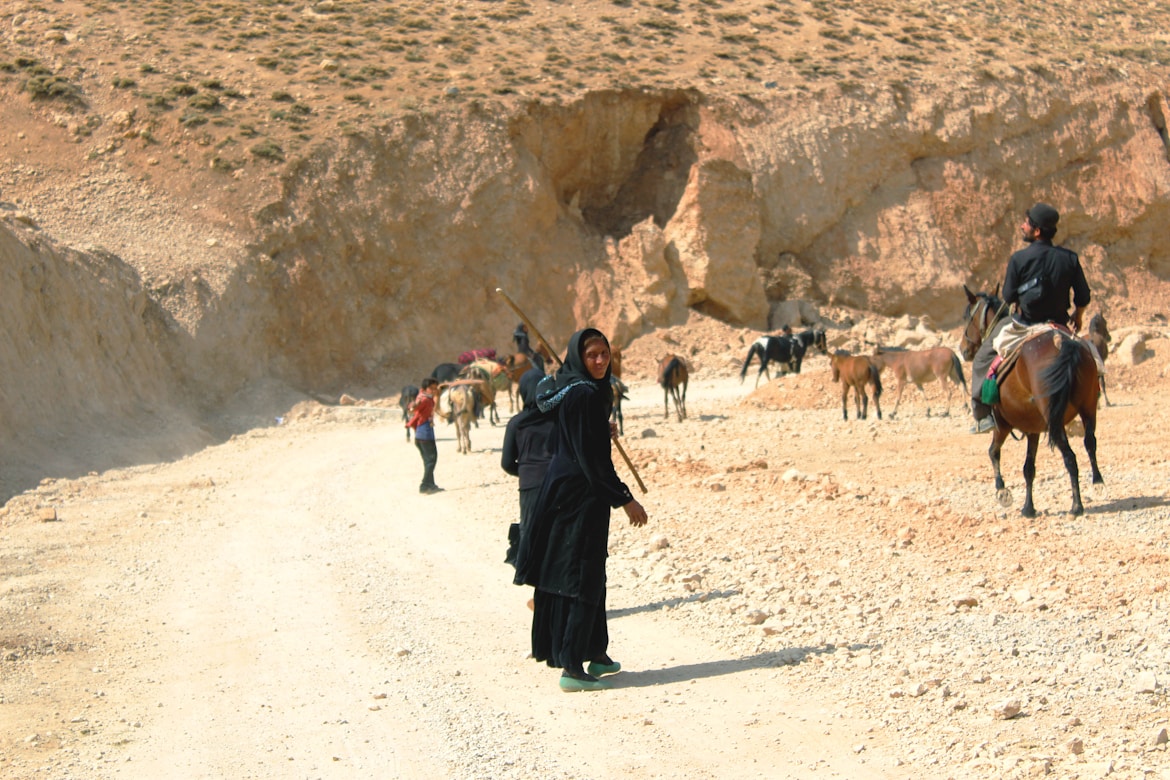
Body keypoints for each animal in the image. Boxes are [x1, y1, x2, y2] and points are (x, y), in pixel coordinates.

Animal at [959, 286, 1095, 519]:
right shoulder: (1033, 428)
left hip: (1053, 421)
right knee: (1090, 442)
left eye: (968, 316)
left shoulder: (1003, 424)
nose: (963, 349)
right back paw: (1097, 482)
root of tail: (1064, 344)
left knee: (1070, 456)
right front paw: (1028, 507)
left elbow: (993, 452)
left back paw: (1077, 505)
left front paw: (1002, 491)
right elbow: (1029, 467)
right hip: (1088, 407)